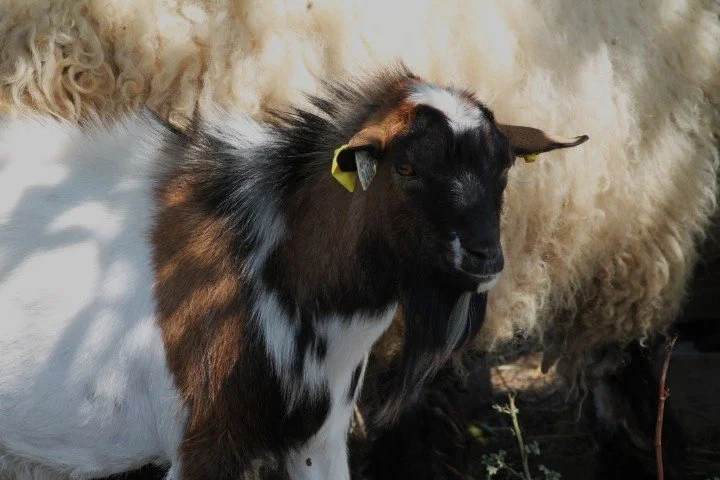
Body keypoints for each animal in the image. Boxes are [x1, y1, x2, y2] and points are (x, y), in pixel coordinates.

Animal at [0, 68, 587, 480]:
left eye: (503, 168)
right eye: (406, 167)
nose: (485, 256)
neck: (272, 266)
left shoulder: (319, 440)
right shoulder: (203, 446)